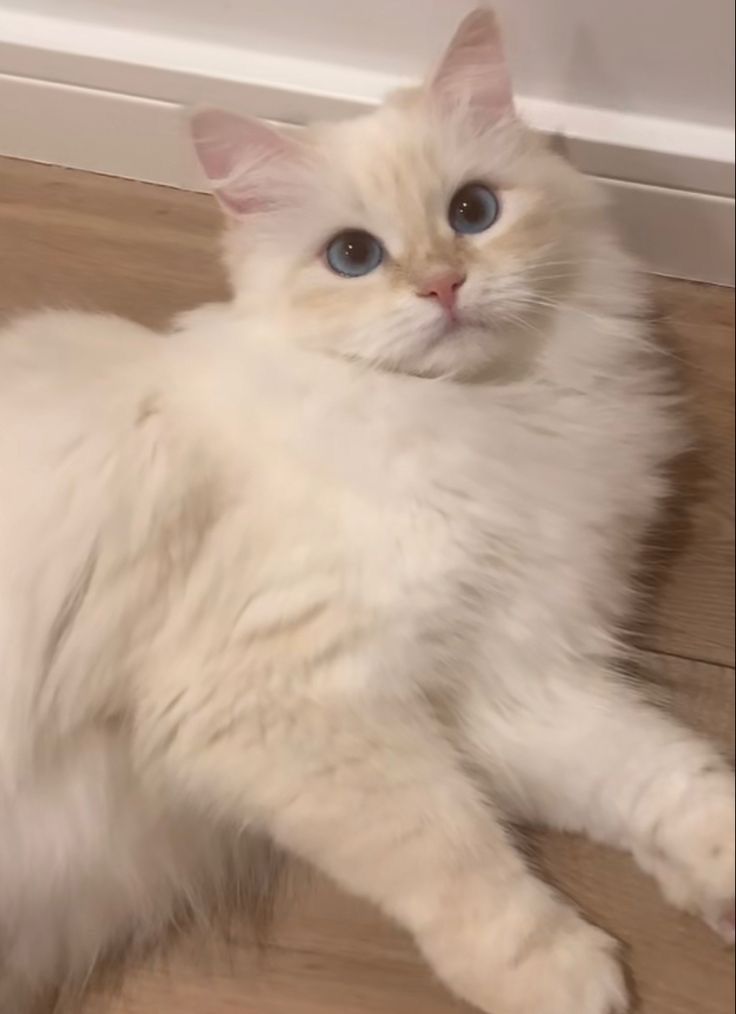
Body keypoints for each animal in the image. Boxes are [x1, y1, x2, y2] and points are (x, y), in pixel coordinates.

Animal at [0, 9, 733, 1014]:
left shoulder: (515, 679)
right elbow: (460, 862)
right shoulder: (293, 694)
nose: (443, 285)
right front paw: (563, 979)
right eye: (354, 257)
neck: (490, 420)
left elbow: (659, 777)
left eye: (473, 213)